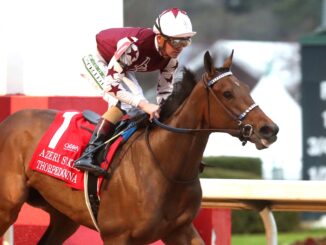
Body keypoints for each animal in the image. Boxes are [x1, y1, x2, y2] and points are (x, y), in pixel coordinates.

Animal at [0, 50, 278, 244]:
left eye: (247, 88)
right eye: (227, 93)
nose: (270, 129)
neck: (166, 167)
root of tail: (8, 120)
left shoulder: (180, 230)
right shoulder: (116, 235)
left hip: (64, 217)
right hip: (7, 206)